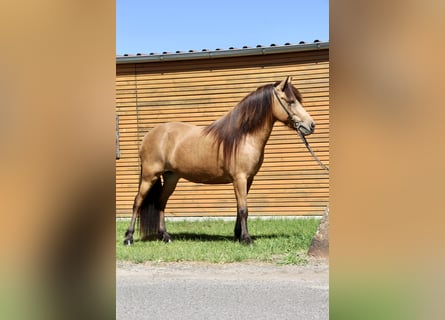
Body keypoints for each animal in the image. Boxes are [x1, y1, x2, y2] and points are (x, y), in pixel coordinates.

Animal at [123, 75, 314, 245]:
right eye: (290, 101)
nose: (311, 125)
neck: (244, 136)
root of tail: (149, 136)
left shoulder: (248, 179)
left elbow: (239, 208)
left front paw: (238, 236)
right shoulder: (240, 178)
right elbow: (243, 209)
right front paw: (246, 239)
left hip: (171, 177)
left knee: (161, 202)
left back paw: (166, 237)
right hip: (149, 176)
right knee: (137, 202)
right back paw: (129, 238)